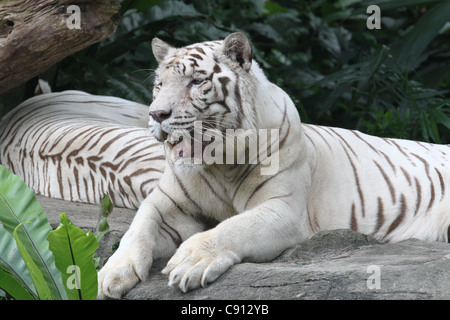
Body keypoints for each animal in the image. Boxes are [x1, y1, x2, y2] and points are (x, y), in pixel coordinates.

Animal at [0, 32, 448, 300]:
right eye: (159, 84)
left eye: (197, 82)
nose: (156, 114)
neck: (220, 165)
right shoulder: (167, 202)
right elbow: (138, 227)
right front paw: (112, 273)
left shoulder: (282, 210)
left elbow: (233, 227)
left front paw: (188, 262)